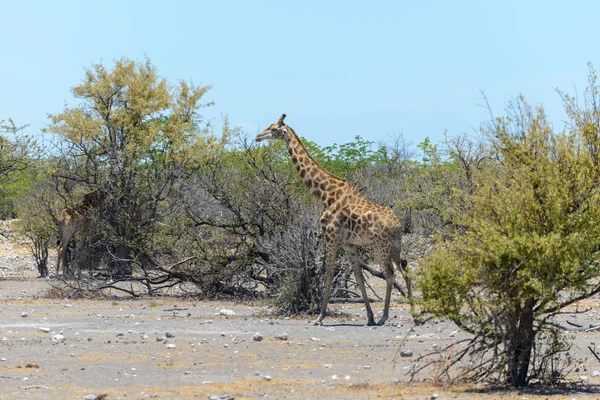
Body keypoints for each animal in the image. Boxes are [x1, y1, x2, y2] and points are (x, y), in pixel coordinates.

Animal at [255, 113, 410, 324]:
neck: (326, 194)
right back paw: (414, 310)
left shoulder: (330, 235)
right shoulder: (348, 244)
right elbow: (358, 277)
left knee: (390, 274)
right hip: (395, 246)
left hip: (380, 247)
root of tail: (398, 225)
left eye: (273, 129)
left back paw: (385, 317)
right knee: (405, 270)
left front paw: (319, 317)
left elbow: (328, 273)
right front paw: (369, 317)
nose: (257, 137)